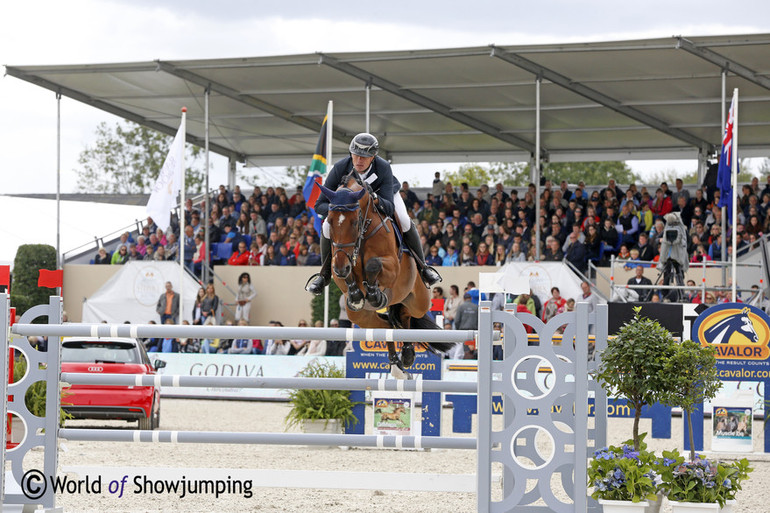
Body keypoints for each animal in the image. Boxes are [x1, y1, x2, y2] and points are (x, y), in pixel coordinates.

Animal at [316, 172, 452, 376]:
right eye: (330, 222)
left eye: (354, 222)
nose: (342, 267)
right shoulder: (338, 261)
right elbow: (346, 275)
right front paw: (356, 294)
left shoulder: (392, 266)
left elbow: (373, 265)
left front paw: (374, 294)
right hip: (360, 317)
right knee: (388, 326)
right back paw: (396, 361)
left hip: (418, 301)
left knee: (407, 316)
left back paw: (407, 353)